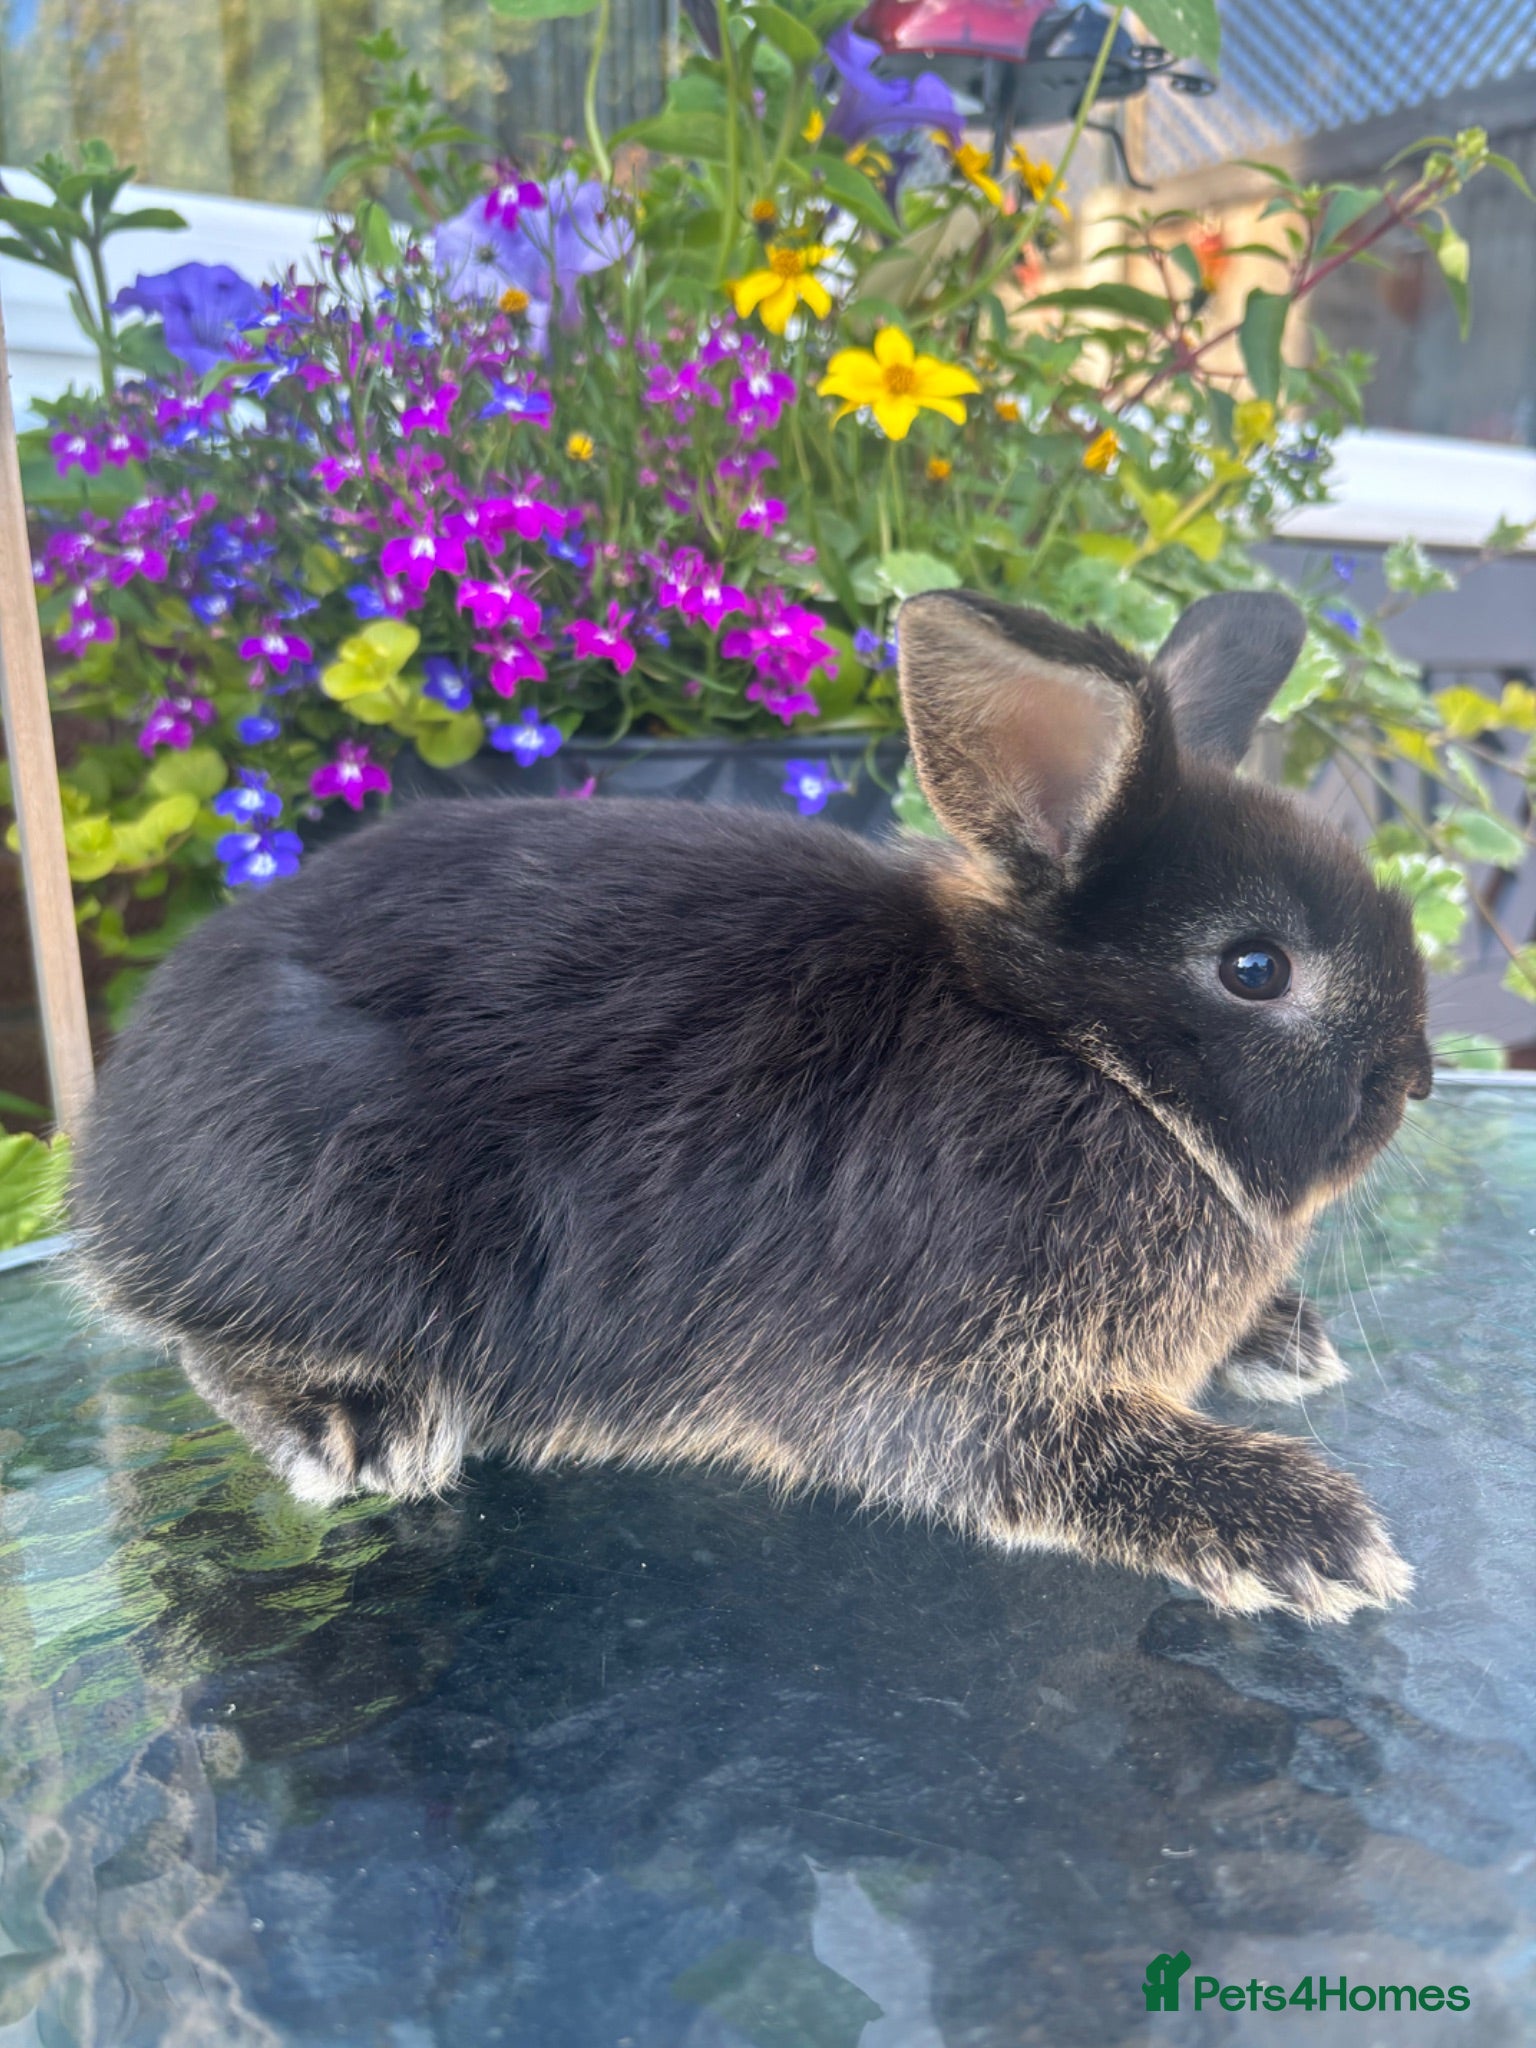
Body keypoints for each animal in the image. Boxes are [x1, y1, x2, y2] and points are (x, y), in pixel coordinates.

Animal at [72, 588, 1433, 1622]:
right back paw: (356, 1419)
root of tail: (112, 1146)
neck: (1076, 1054)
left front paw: (1280, 1340)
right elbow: (1035, 1452)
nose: (1416, 1077)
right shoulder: (934, 1370)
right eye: (1255, 967)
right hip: (339, 1220)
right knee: (206, 1340)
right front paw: (1300, 1530)